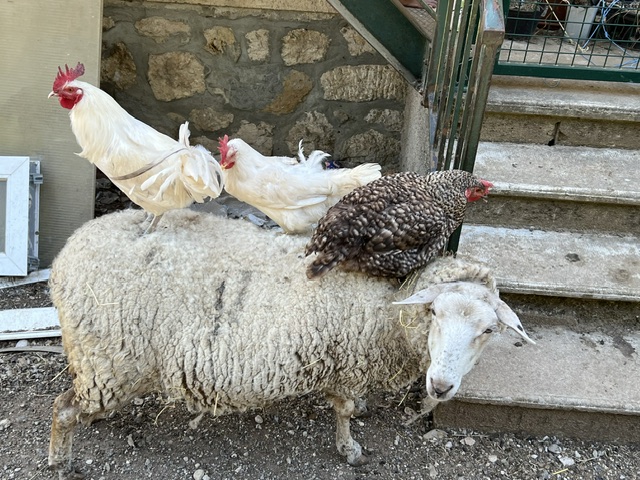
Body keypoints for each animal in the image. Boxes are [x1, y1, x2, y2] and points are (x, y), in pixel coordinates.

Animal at [47, 208, 534, 477]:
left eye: (488, 330)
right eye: (434, 313)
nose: (440, 386)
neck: (388, 307)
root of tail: (68, 253)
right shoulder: (347, 362)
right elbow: (345, 411)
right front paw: (349, 449)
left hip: (104, 362)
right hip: (110, 358)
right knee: (63, 408)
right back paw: (59, 460)